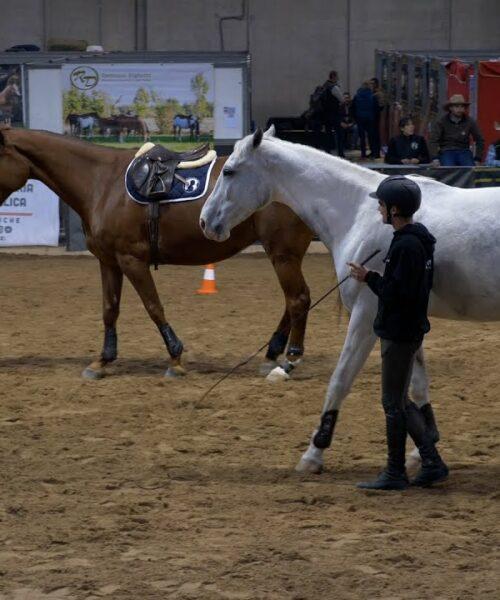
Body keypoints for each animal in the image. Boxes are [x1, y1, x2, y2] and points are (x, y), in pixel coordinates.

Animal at [0, 127, 312, 380]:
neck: (102, 182)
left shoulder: (132, 260)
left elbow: (153, 306)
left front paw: (175, 359)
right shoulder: (109, 261)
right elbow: (109, 309)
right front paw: (102, 361)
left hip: (283, 254)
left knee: (297, 300)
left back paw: (288, 359)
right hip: (285, 256)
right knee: (292, 302)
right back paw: (272, 353)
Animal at [199, 125, 500, 474]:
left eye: (229, 171)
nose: (205, 222)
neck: (361, 214)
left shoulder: (367, 316)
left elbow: (340, 379)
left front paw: (314, 453)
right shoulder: (406, 321)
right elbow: (417, 386)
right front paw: (422, 450)